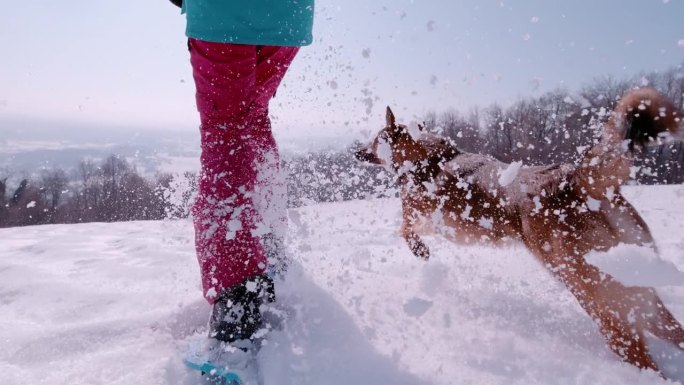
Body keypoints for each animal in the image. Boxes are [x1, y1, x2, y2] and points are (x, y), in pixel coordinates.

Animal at [358, 88, 684, 376]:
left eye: (374, 141)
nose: (356, 152)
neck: (424, 157)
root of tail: (574, 181)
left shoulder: (419, 216)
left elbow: (404, 231)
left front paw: (421, 251)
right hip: (642, 298)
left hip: (599, 300)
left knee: (643, 358)